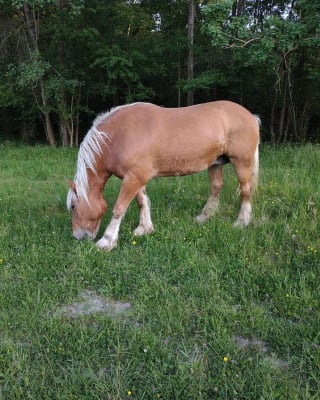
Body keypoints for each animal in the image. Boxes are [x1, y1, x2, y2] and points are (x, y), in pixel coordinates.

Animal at [67, 101, 260, 250]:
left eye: (74, 206)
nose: (77, 236)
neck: (117, 137)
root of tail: (251, 116)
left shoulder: (133, 178)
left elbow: (119, 209)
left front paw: (107, 241)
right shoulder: (136, 177)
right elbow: (142, 202)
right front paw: (144, 228)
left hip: (241, 162)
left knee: (246, 191)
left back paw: (241, 222)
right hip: (215, 163)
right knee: (216, 187)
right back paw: (204, 217)